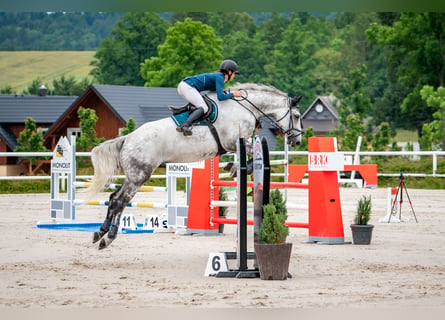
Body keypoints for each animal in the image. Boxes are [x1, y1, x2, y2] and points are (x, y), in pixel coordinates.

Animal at [87, 83, 302, 250]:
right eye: (298, 115)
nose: (298, 141)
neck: (244, 107)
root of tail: (127, 138)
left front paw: (232, 167)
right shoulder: (232, 142)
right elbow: (251, 154)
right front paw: (235, 168)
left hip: (133, 176)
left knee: (113, 198)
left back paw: (99, 233)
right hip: (139, 176)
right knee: (120, 201)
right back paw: (108, 237)